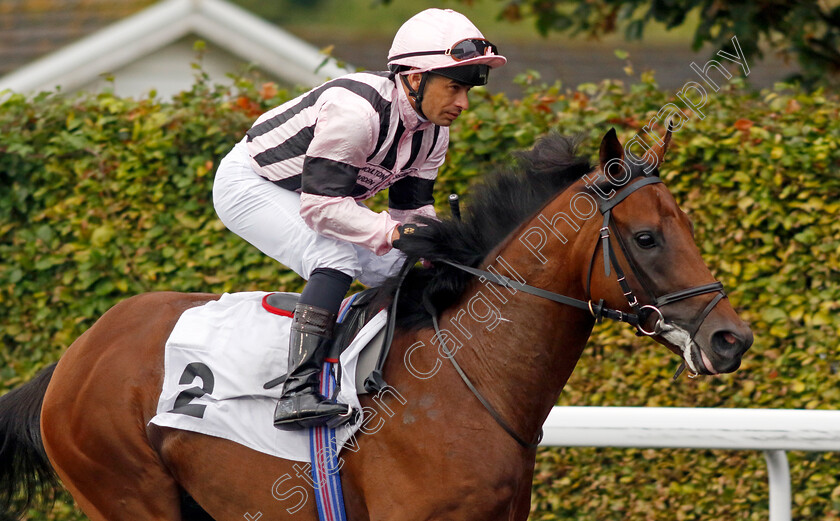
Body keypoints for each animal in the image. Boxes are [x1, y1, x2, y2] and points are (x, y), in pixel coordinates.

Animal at [0, 128, 748, 516]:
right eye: (647, 237)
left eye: (687, 226)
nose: (730, 337)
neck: (468, 378)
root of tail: (75, 355)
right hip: (126, 493)